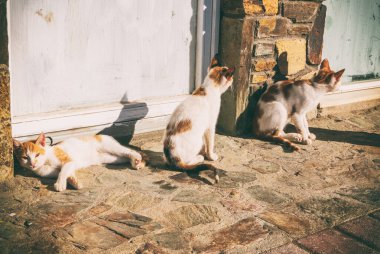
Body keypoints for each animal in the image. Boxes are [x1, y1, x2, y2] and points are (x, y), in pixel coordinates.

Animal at [13, 134, 144, 191]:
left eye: (37, 154)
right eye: (25, 157)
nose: (32, 164)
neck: (46, 161)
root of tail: (100, 134)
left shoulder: (68, 160)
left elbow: (63, 171)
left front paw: (60, 184)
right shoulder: (47, 171)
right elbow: (63, 172)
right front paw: (75, 182)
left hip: (110, 146)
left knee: (129, 151)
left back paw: (137, 158)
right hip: (108, 158)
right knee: (122, 157)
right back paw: (135, 162)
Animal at [163, 53, 235, 183]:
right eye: (231, 78)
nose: (233, 81)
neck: (207, 89)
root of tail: (172, 156)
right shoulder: (210, 126)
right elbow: (210, 144)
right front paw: (211, 156)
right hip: (197, 141)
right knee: (189, 162)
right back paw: (199, 157)